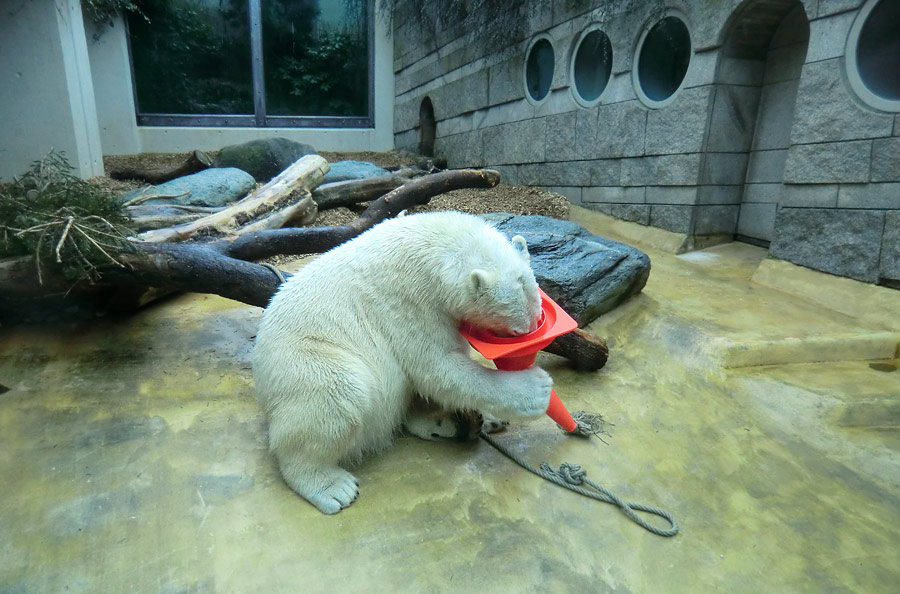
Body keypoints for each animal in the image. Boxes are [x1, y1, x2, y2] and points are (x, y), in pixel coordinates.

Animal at [250, 212, 552, 512]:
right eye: (515, 331)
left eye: (536, 318)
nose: (528, 336)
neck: (434, 244)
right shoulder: (411, 300)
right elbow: (436, 367)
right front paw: (536, 389)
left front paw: (490, 415)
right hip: (305, 358)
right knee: (336, 395)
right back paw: (332, 487)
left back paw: (454, 422)